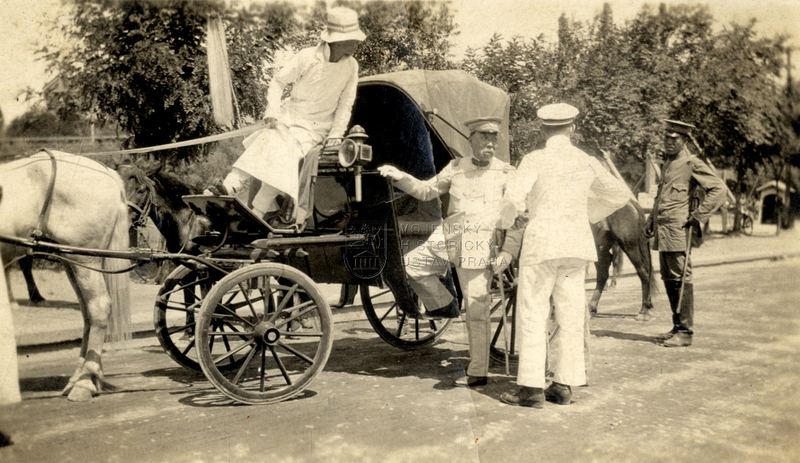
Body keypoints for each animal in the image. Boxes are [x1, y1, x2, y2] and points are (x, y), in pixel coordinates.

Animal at [0, 151, 131, 402]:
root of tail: (107, 173)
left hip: (85, 259)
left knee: (99, 308)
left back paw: (85, 382)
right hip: (72, 260)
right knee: (88, 314)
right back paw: (82, 378)